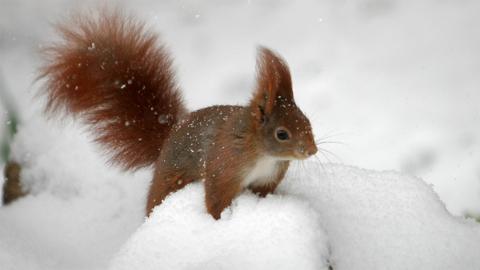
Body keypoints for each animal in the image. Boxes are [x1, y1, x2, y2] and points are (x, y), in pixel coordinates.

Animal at [40, 10, 318, 219]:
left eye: (308, 121)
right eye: (282, 134)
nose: (312, 150)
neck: (262, 152)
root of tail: (168, 137)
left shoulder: (267, 179)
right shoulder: (225, 166)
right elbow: (215, 199)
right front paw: (219, 221)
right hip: (169, 182)